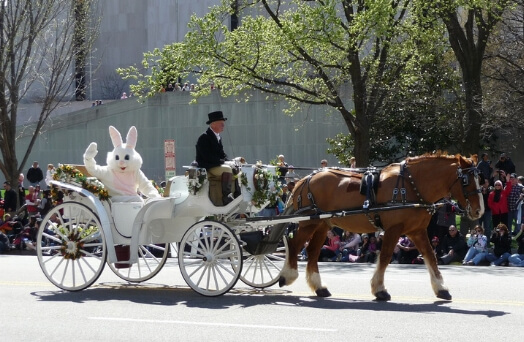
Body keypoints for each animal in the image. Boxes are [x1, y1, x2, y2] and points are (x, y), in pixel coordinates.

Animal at [278, 152, 484, 300]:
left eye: (480, 179)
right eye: (466, 181)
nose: (479, 210)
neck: (411, 185)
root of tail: (306, 179)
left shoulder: (417, 231)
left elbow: (430, 256)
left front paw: (441, 288)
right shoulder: (394, 229)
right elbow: (385, 257)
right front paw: (379, 289)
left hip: (322, 224)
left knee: (312, 252)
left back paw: (319, 287)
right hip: (309, 222)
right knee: (295, 246)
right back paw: (287, 275)